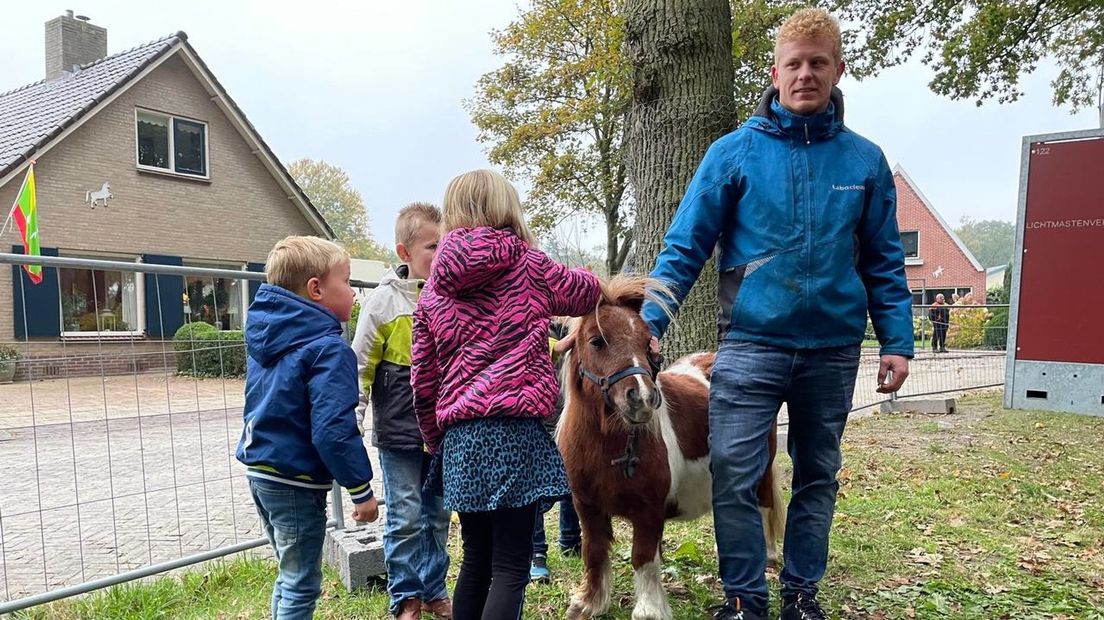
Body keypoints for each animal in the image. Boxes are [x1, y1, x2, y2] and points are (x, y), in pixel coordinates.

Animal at [556, 275, 781, 617]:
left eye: (645, 341)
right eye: (597, 341)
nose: (642, 398)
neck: (608, 446)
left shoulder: (648, 510)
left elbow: (643, 557)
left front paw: (649, 610)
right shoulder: (587, 506)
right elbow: (593, 551)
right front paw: (588, 603)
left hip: (763, 467)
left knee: (763, 504)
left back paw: (766, 556)